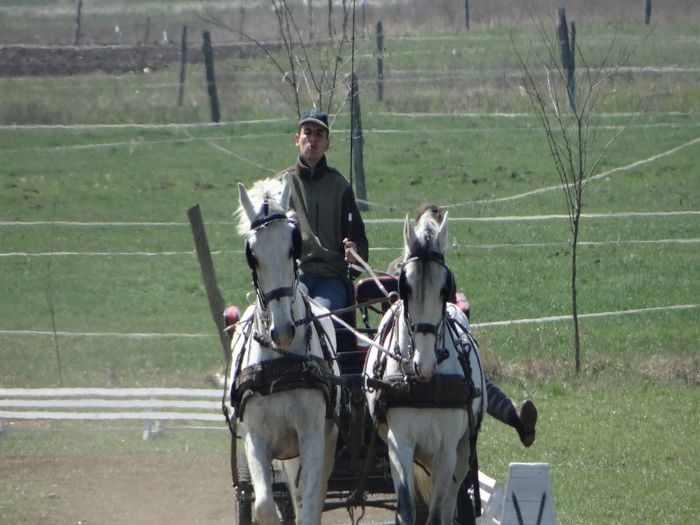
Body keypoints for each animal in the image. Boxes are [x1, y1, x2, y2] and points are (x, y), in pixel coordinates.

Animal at [227, 177, 340, 524]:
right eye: (252, 255)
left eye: (294, 246)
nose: (283, 331)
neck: (281, 362)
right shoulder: (255, 438)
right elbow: (265, 504)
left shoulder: (313, 434)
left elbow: (310, 503)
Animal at [364, 211, 484, 520]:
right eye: (404, 287)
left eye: (445, 288)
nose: (424, 363)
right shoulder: (399, 444)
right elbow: (406, 507)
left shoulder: (447, 452)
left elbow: (438, 513)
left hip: (462, 454)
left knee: (452, 500)